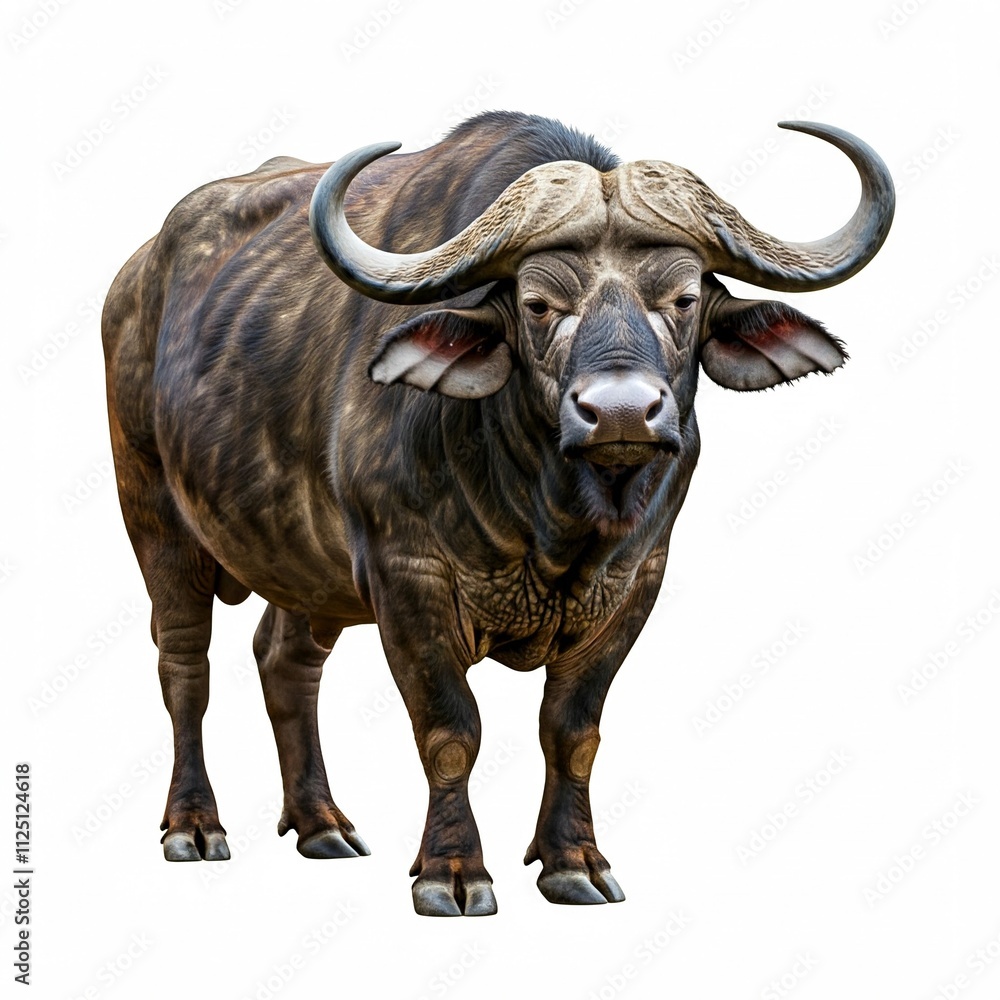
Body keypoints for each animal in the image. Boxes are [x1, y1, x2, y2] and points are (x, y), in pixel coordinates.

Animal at [102, 111, 893, 916]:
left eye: (684, 300)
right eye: (539, 304)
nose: (620, 413)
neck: (548, 514)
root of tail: (136, 280)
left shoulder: (635, 583)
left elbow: (573, 732)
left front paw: (573, 860)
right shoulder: (406, 578)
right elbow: (451, 730)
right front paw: (452, 870)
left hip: (305, 563)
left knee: (284, 661)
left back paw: (320, 823)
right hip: (154, 515)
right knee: (184, 664)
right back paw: (194, 826)